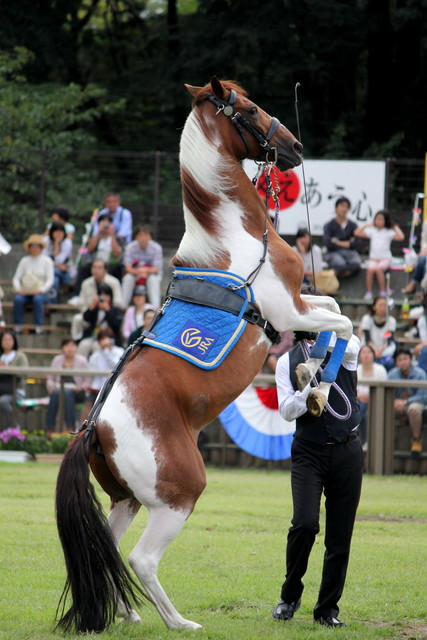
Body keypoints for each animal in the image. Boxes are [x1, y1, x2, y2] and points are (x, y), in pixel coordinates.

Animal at [54, 77, 354, 632]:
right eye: (251, 108)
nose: (295, 146)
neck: (236, 236)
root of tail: (93, 429)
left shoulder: (298, 307)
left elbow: (336, 310)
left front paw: (310, 373)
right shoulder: (288, 310)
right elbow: (342, 320)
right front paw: (318, 384)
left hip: (127, 499)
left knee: (108, 547)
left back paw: (130, 614)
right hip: (178, 496)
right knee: (141, 559)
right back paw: (179, 622)